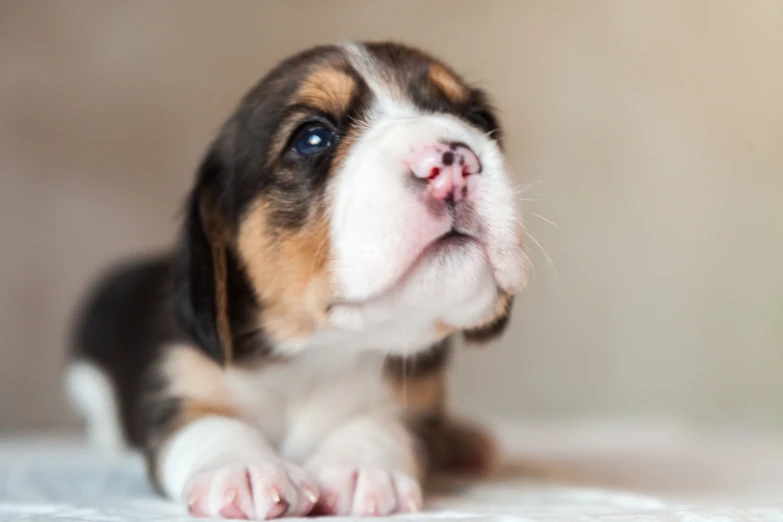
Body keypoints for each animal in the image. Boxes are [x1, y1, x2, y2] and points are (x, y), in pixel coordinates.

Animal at [67, 41, 528, 516]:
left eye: (480, 120)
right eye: (312, 139)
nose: (454, 160)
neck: (317, 349)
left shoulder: (415, 402)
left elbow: (383, 424)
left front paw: (359, 465)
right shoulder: (174, 385)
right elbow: (209, 424)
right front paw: (243, 468)